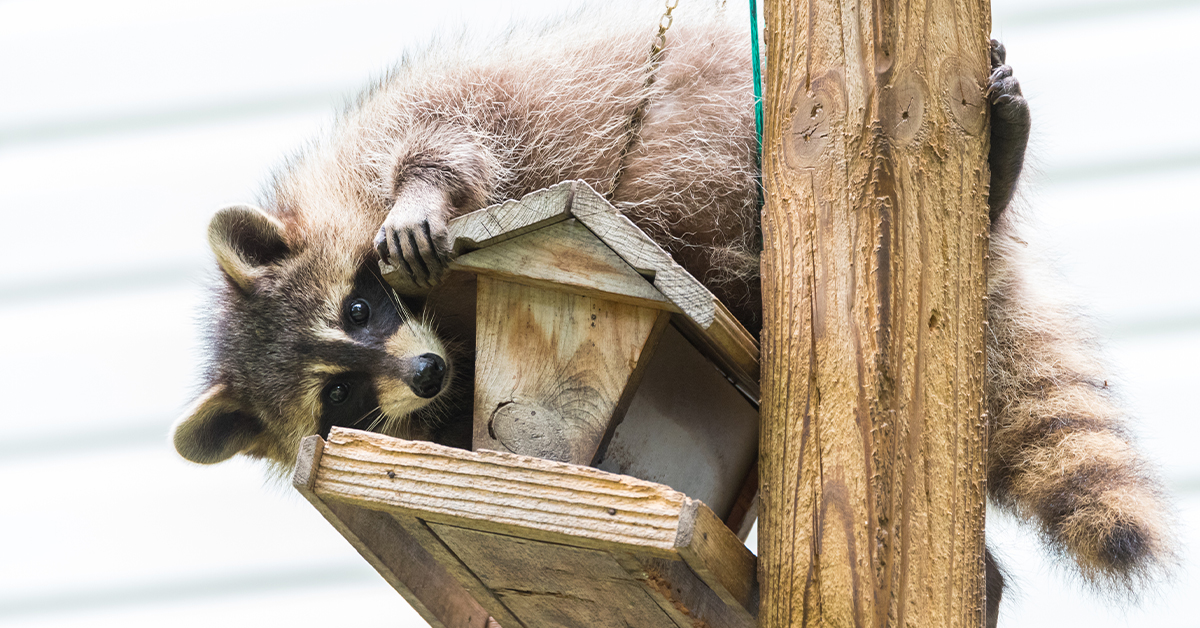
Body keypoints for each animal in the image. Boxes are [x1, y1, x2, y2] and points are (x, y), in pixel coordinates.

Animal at [169, 3, 1171, 624]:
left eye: (359, 306)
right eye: (335, 398)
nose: (424, 373)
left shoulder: (418, 119)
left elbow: (450, 134)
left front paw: (424, 193)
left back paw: (997, 170)